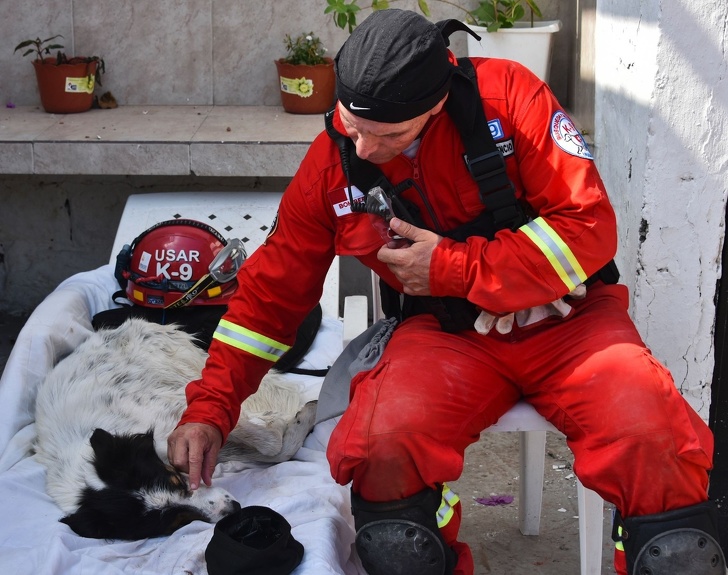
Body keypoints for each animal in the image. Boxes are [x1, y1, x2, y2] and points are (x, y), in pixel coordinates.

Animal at [34, 320, 318, 540]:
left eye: (175, 480)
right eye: (178, 520)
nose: (234, 508)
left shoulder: (186, 415)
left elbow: (269, 441)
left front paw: (285, 419)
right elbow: (275, 450)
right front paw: (292, 422)